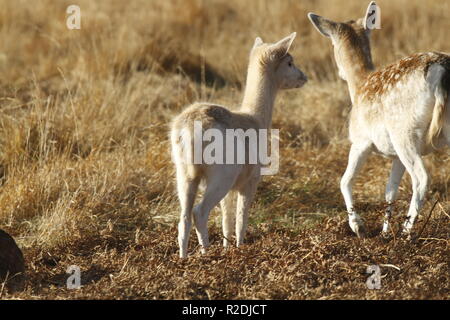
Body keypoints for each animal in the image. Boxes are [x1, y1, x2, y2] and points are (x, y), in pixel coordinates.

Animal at [171, 32, 308, 258]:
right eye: (289, 61)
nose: (304, 77)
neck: (256, 118)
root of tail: (190, 128)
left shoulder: (232, 189)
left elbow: (227, 219)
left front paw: (227, 248)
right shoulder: (250, 180)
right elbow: (241, 220)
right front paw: (239, 248)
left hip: (184, 174)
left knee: (184, 218)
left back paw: (183, 258)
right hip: (222, 175)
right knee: (199, 211)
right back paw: (206, 253)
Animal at [310, 2, 450, 238]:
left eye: (332, 43)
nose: (339, 73)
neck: (358, 87)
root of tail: (440, 70)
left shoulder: (360, 141)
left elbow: (345, 180)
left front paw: (358, 226)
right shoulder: (394, 156)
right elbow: (390, 190)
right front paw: (384, 232)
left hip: (404, 132)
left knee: (421, 178)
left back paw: (406, 232)